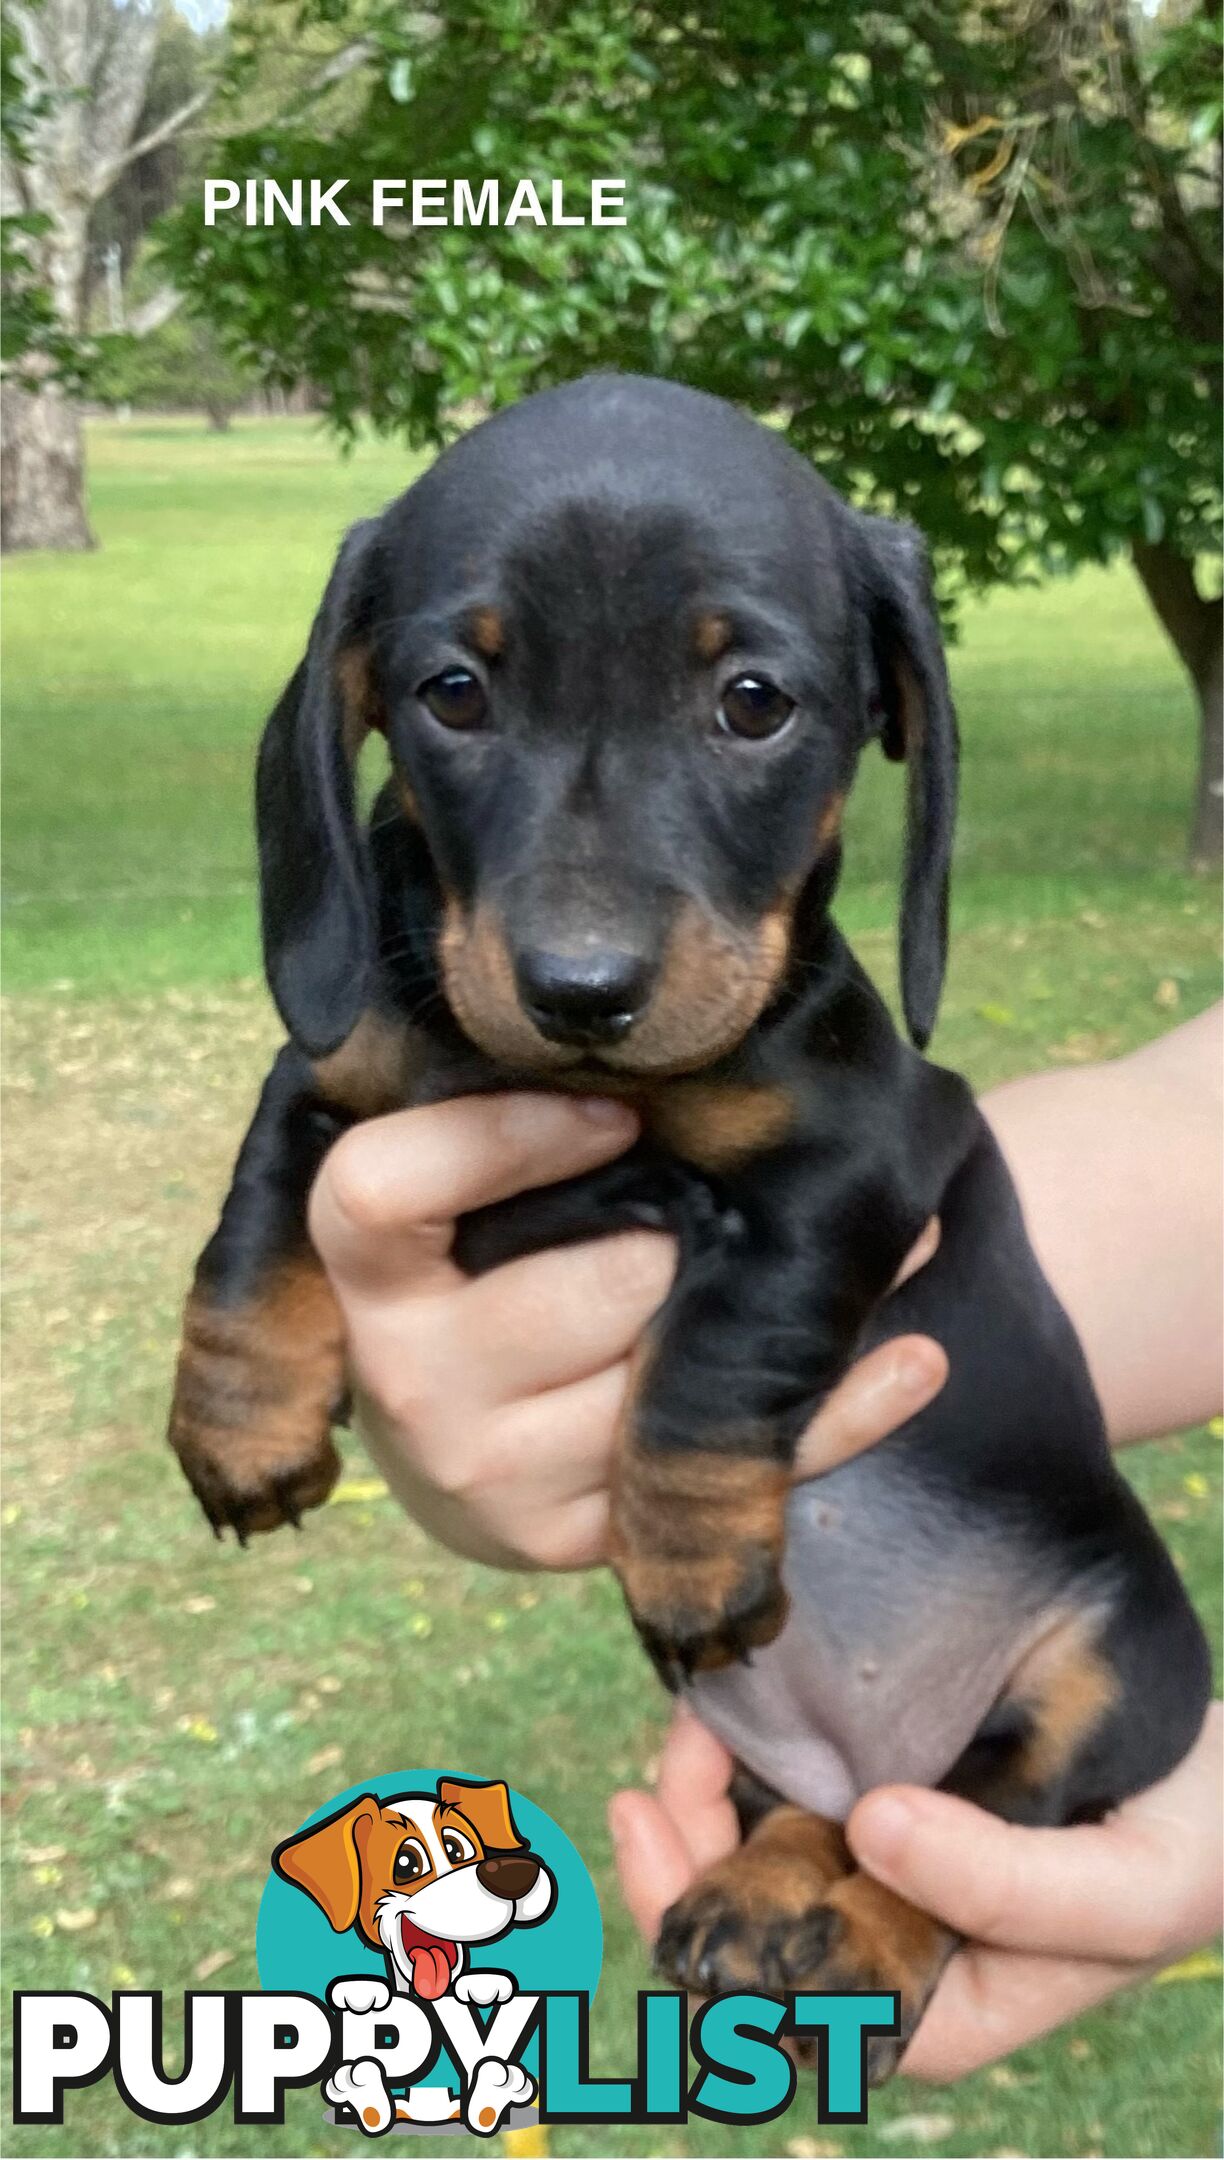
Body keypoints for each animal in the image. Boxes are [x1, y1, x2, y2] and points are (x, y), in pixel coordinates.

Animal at [167, 371, 1208, 2073]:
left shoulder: (858, 1167)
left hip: (1121, 1668)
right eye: (454, 692)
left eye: (754, 703)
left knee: (965, 1819)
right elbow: (257, 1219)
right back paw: (763, 1894)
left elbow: (720, 1353)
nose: (580, 992)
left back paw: (854, 1933)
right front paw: (241, 1424)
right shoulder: (335, 1076)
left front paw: (690, 1558)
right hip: (815, 1771)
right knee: (831, 1811)